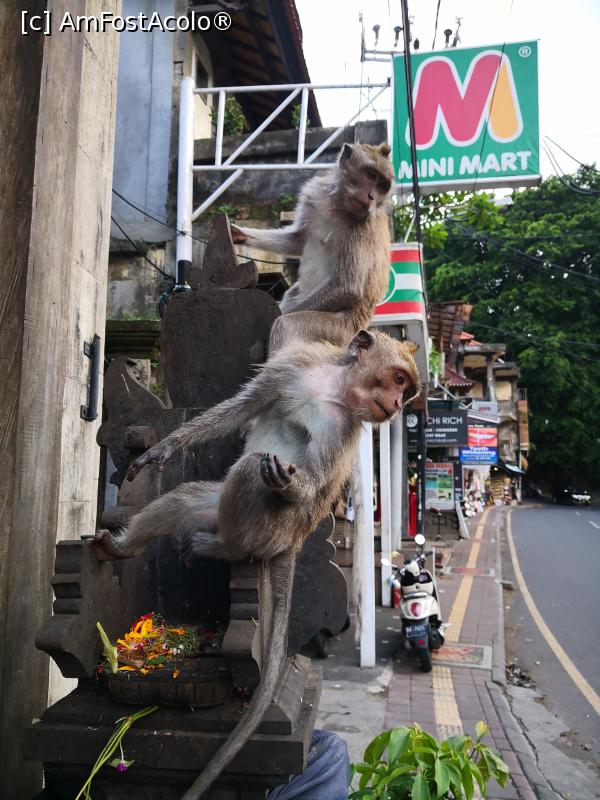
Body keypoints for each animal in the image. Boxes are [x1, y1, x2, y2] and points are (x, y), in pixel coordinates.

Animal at [90, 330, 420, 799]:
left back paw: (224, 549)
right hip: (220, 508)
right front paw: (164, 448)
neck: (334, 387)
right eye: (397, 379)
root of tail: (293, 541)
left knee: (250, 473)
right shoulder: (291, 366)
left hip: (271, 529)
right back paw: (123, 549)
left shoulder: (345, 428)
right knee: (188, 498)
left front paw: (295, 485)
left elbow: (316, 482)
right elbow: (241, 408)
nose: (395, 405)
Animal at [231, 143, 394, 351]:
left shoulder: (363, 226)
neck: (337, 204)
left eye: (382, 186)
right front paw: (239, 234)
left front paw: (273, 318)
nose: (372, 196)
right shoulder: (314, 193)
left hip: (337, 331)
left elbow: (349, 287)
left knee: (287, 324)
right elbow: (297, 240)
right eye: (371, 175)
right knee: (293, 292)